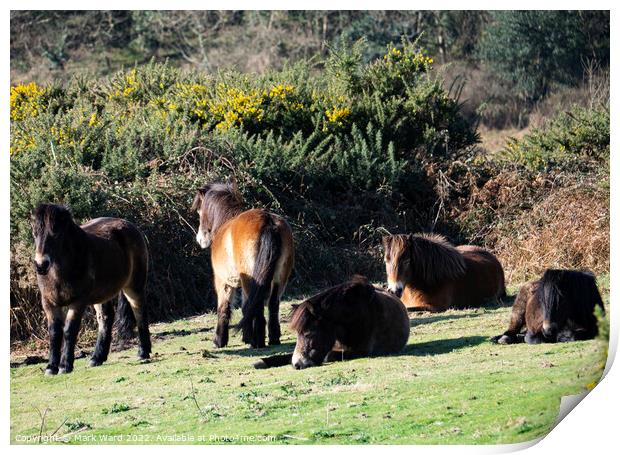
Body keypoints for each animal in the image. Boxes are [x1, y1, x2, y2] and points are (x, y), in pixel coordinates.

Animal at [31, 205, 151, 376]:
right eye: (34, 232)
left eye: (56, 232)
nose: (41, 265)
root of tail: (130, 226)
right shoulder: (48, 303)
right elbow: (54, 333)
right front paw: (50, 367)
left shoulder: (78, 302)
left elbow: (69, 330)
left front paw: (64, 366)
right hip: (102, 295)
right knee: (106, 318)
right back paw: (97, 358)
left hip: (134, 286)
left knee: (139, 313)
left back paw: (143, 352)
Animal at [190, 182, 294, 350]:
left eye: (200, 210)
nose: (200, 239)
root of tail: (268, 221)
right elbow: (246, 307)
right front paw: (246, 336)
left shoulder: (223, 282)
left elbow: (223, 308)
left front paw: (219, 340)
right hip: (279, 278)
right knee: (272, 304)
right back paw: (272, 339)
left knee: (257, 306)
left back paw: (257, 342)